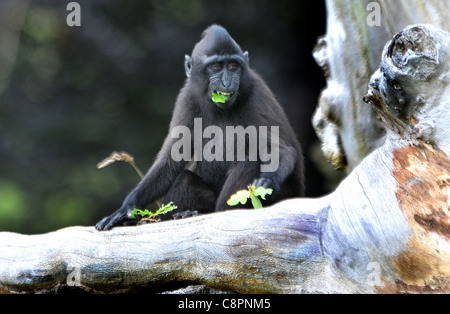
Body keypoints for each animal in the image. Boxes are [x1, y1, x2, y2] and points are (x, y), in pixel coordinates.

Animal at [96, 24, 304, 231]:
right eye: (217, 67)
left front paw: (269, 179)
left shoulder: (257, 95)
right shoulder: (187, 98)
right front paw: (127, 209)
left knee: (249, 163)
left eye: (234, 66)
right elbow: (170, 160)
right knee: (184, 179)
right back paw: (184, 214)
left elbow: (280, 149)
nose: (227, 82)